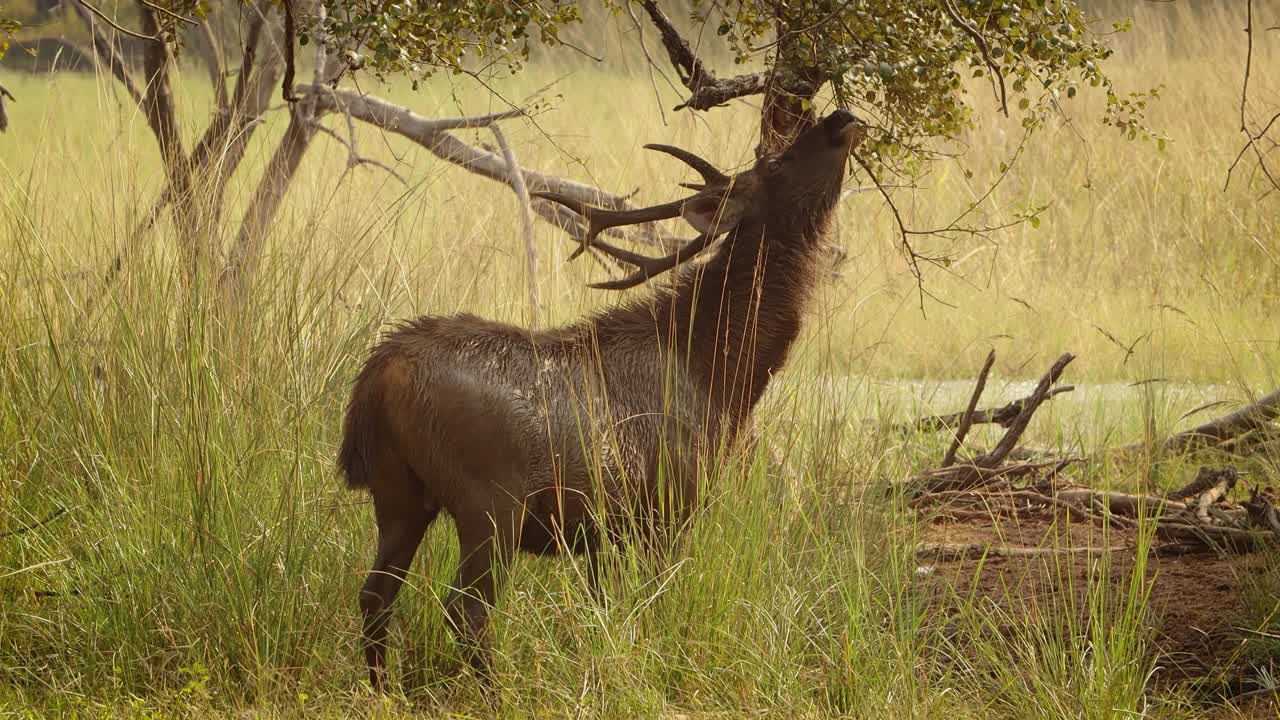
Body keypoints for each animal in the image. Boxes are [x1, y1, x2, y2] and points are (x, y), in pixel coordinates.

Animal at [338, 109, 867, 689]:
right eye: (778, 161)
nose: (841, 118)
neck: (722, 375)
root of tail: (378, 376)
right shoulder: (669, 504)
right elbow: (653, 600)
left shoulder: (603, 531)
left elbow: (606, 609)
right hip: (489, 500)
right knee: (465, 608)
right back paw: (494, 693)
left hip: (397, 492)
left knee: (375, 594)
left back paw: (383, 691)